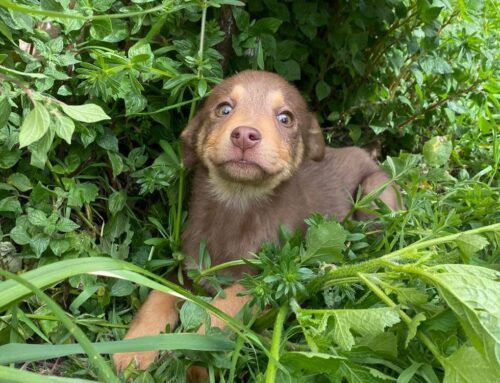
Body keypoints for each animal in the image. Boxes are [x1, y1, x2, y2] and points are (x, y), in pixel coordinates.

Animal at [113, 71, 398, 376]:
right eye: (224, 109)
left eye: (285, 118)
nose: (244, 136)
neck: (237, 201)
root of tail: (366, 154)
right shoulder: (190, 270)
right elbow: (157, 296)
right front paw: (133, 350)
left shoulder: (265, 281)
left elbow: (220, 313)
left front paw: (193, 356)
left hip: (375, 194)